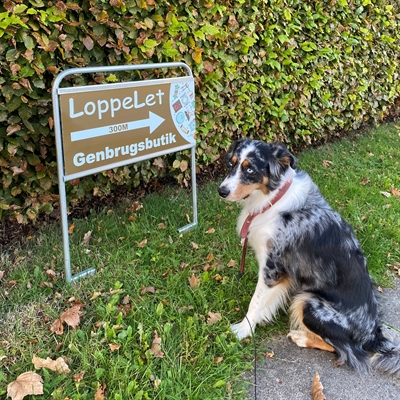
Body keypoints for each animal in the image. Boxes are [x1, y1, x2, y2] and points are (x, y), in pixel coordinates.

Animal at [217, 139, 400, 374]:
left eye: (250, 169)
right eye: (231, 164)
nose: (221, 191)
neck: (273, 199)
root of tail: (373, 336)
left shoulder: (272, 267)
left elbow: (255, 301)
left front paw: (243, 329)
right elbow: (266, 300)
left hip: (308, 302)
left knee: (347, 352)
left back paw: (301, 337)